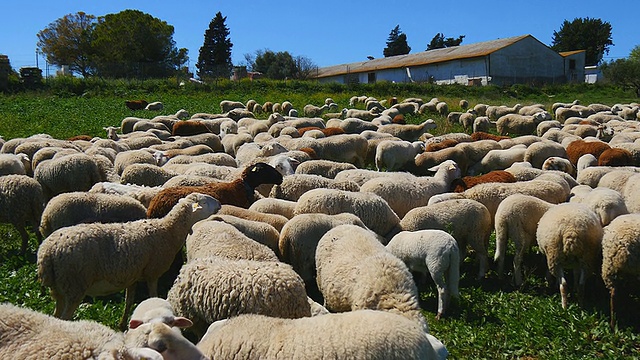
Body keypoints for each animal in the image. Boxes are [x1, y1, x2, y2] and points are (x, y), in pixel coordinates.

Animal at [37, 194, 224, 330]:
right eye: (205, 201)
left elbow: (129, 301)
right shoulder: (152, 273)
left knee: (56, 314)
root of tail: (47, 252)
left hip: (60, 287)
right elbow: (152, 296)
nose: (220, 204)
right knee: (64, 317)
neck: (169, 230)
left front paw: (123, 324)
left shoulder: (132, 276)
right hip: (74, 284)